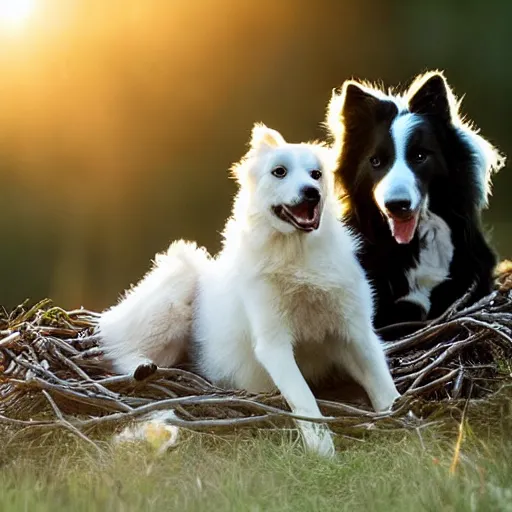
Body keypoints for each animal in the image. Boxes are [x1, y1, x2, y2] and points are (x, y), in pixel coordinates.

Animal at [97, 125, 400, 456]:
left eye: (316, 174)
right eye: (279, 172)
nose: (312, 192)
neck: (297, 255)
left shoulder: (356, 332)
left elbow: (384, 386)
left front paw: (402, 423)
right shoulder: (274, 344)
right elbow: (304, 400)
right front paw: (323, 453)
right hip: (179, 281)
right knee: (120, 349)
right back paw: (141, 368)